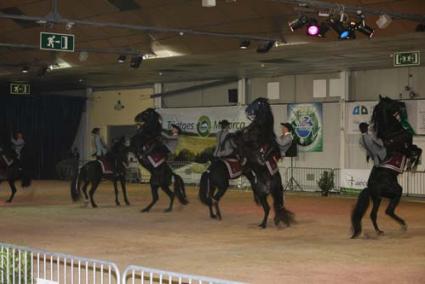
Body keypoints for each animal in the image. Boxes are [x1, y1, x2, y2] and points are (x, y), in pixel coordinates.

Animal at [350, 96, 422, 239]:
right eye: (391, 102)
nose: (402, 104)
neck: (393, 133)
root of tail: (369, 187)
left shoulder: (409, 146)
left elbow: (418, 149)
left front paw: (412, 164)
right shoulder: (405, 149)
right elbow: (418, 150)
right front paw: (413, 165)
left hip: (378, 198)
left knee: (374, 214)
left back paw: (380, 231)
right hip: (395, 191)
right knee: (387, 211)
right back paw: (401, 226)